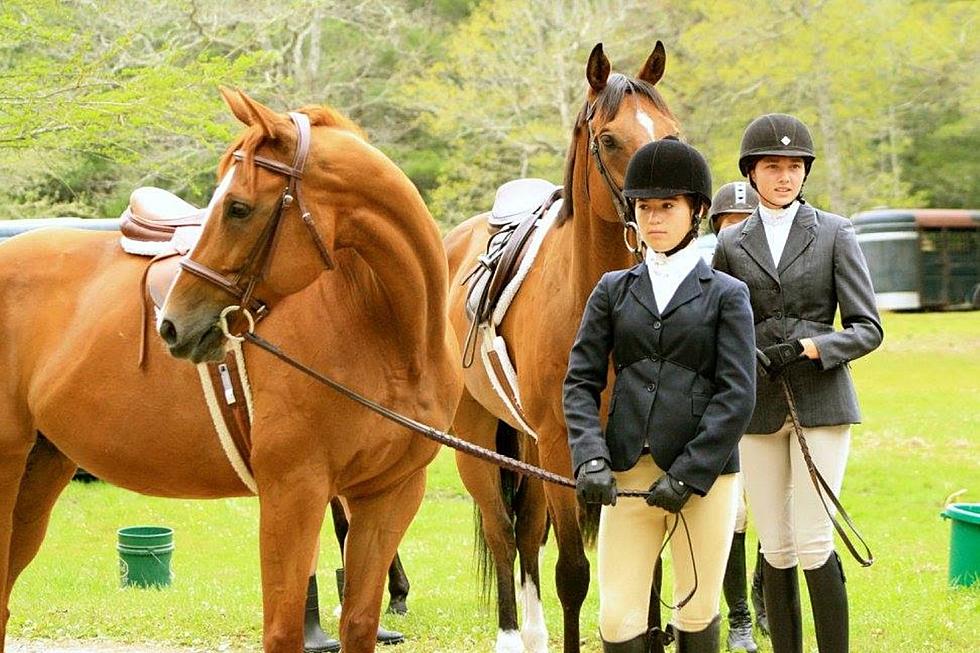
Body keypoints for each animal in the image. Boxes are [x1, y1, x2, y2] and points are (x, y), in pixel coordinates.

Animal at [0, 88, 462, 652]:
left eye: (238, 207)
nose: (171, 324)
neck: (386, 332)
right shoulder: (294, 492)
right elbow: (282, 630)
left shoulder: (389, 496)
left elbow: (359, 622)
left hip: (40, 472)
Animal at [444, 43, 680, 648]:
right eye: (610, 140)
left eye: (670, 135)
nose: (664, 210)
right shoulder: (560, 446)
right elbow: (573, 573)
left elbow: (647, 573)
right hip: (476, 437)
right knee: (502, 532)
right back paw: (511, 633)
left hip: (525, 446)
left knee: (527, 530)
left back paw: (532, 633)